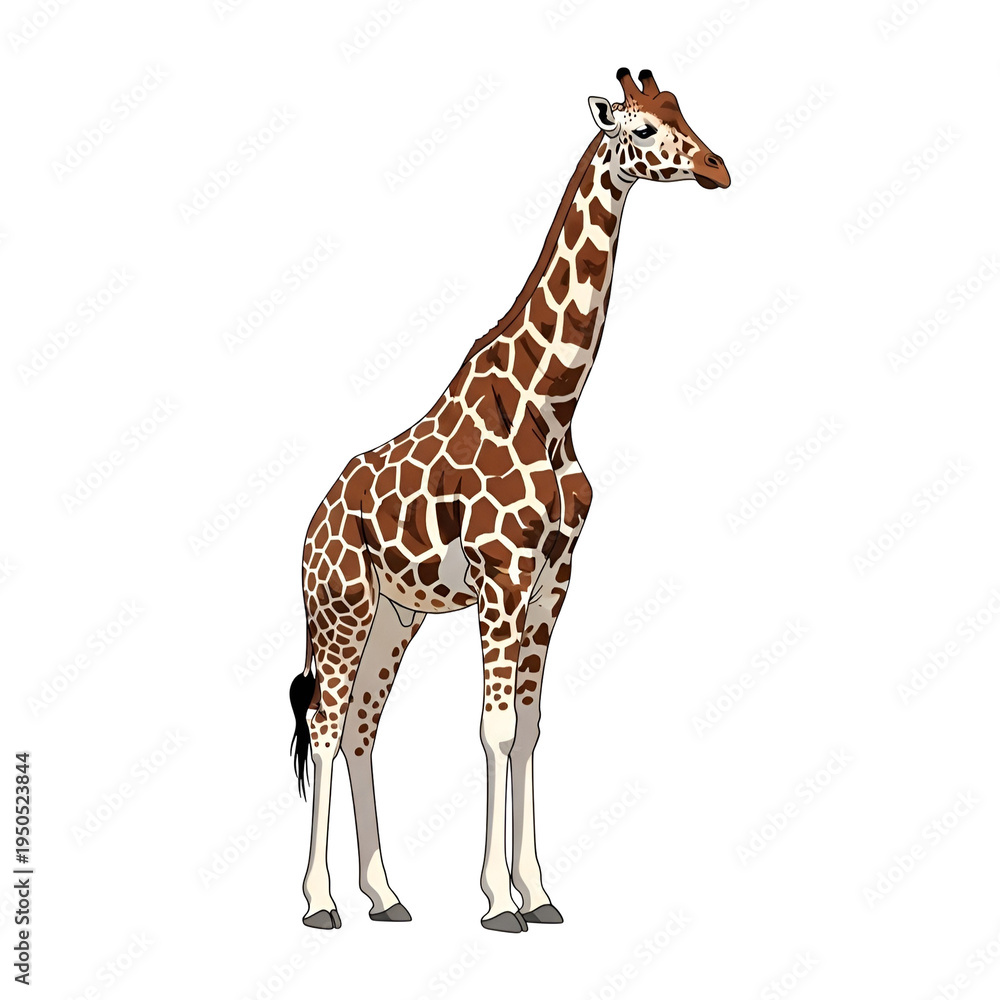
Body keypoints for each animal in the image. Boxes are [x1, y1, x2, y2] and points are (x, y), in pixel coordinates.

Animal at [289, 67, 730, 933]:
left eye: (684, 113)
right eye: (640, 129)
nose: (717, 167)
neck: (552, 403)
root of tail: (310, 527)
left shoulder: (554, 578)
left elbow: (528, 731)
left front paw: (541, 893)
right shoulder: (502, 573)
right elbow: (494, 730)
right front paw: (499, 903)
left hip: (397, 615)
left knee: (360, 731)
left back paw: (385, 896)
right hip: (342, 608)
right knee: (323, 729)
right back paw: (321, 902)